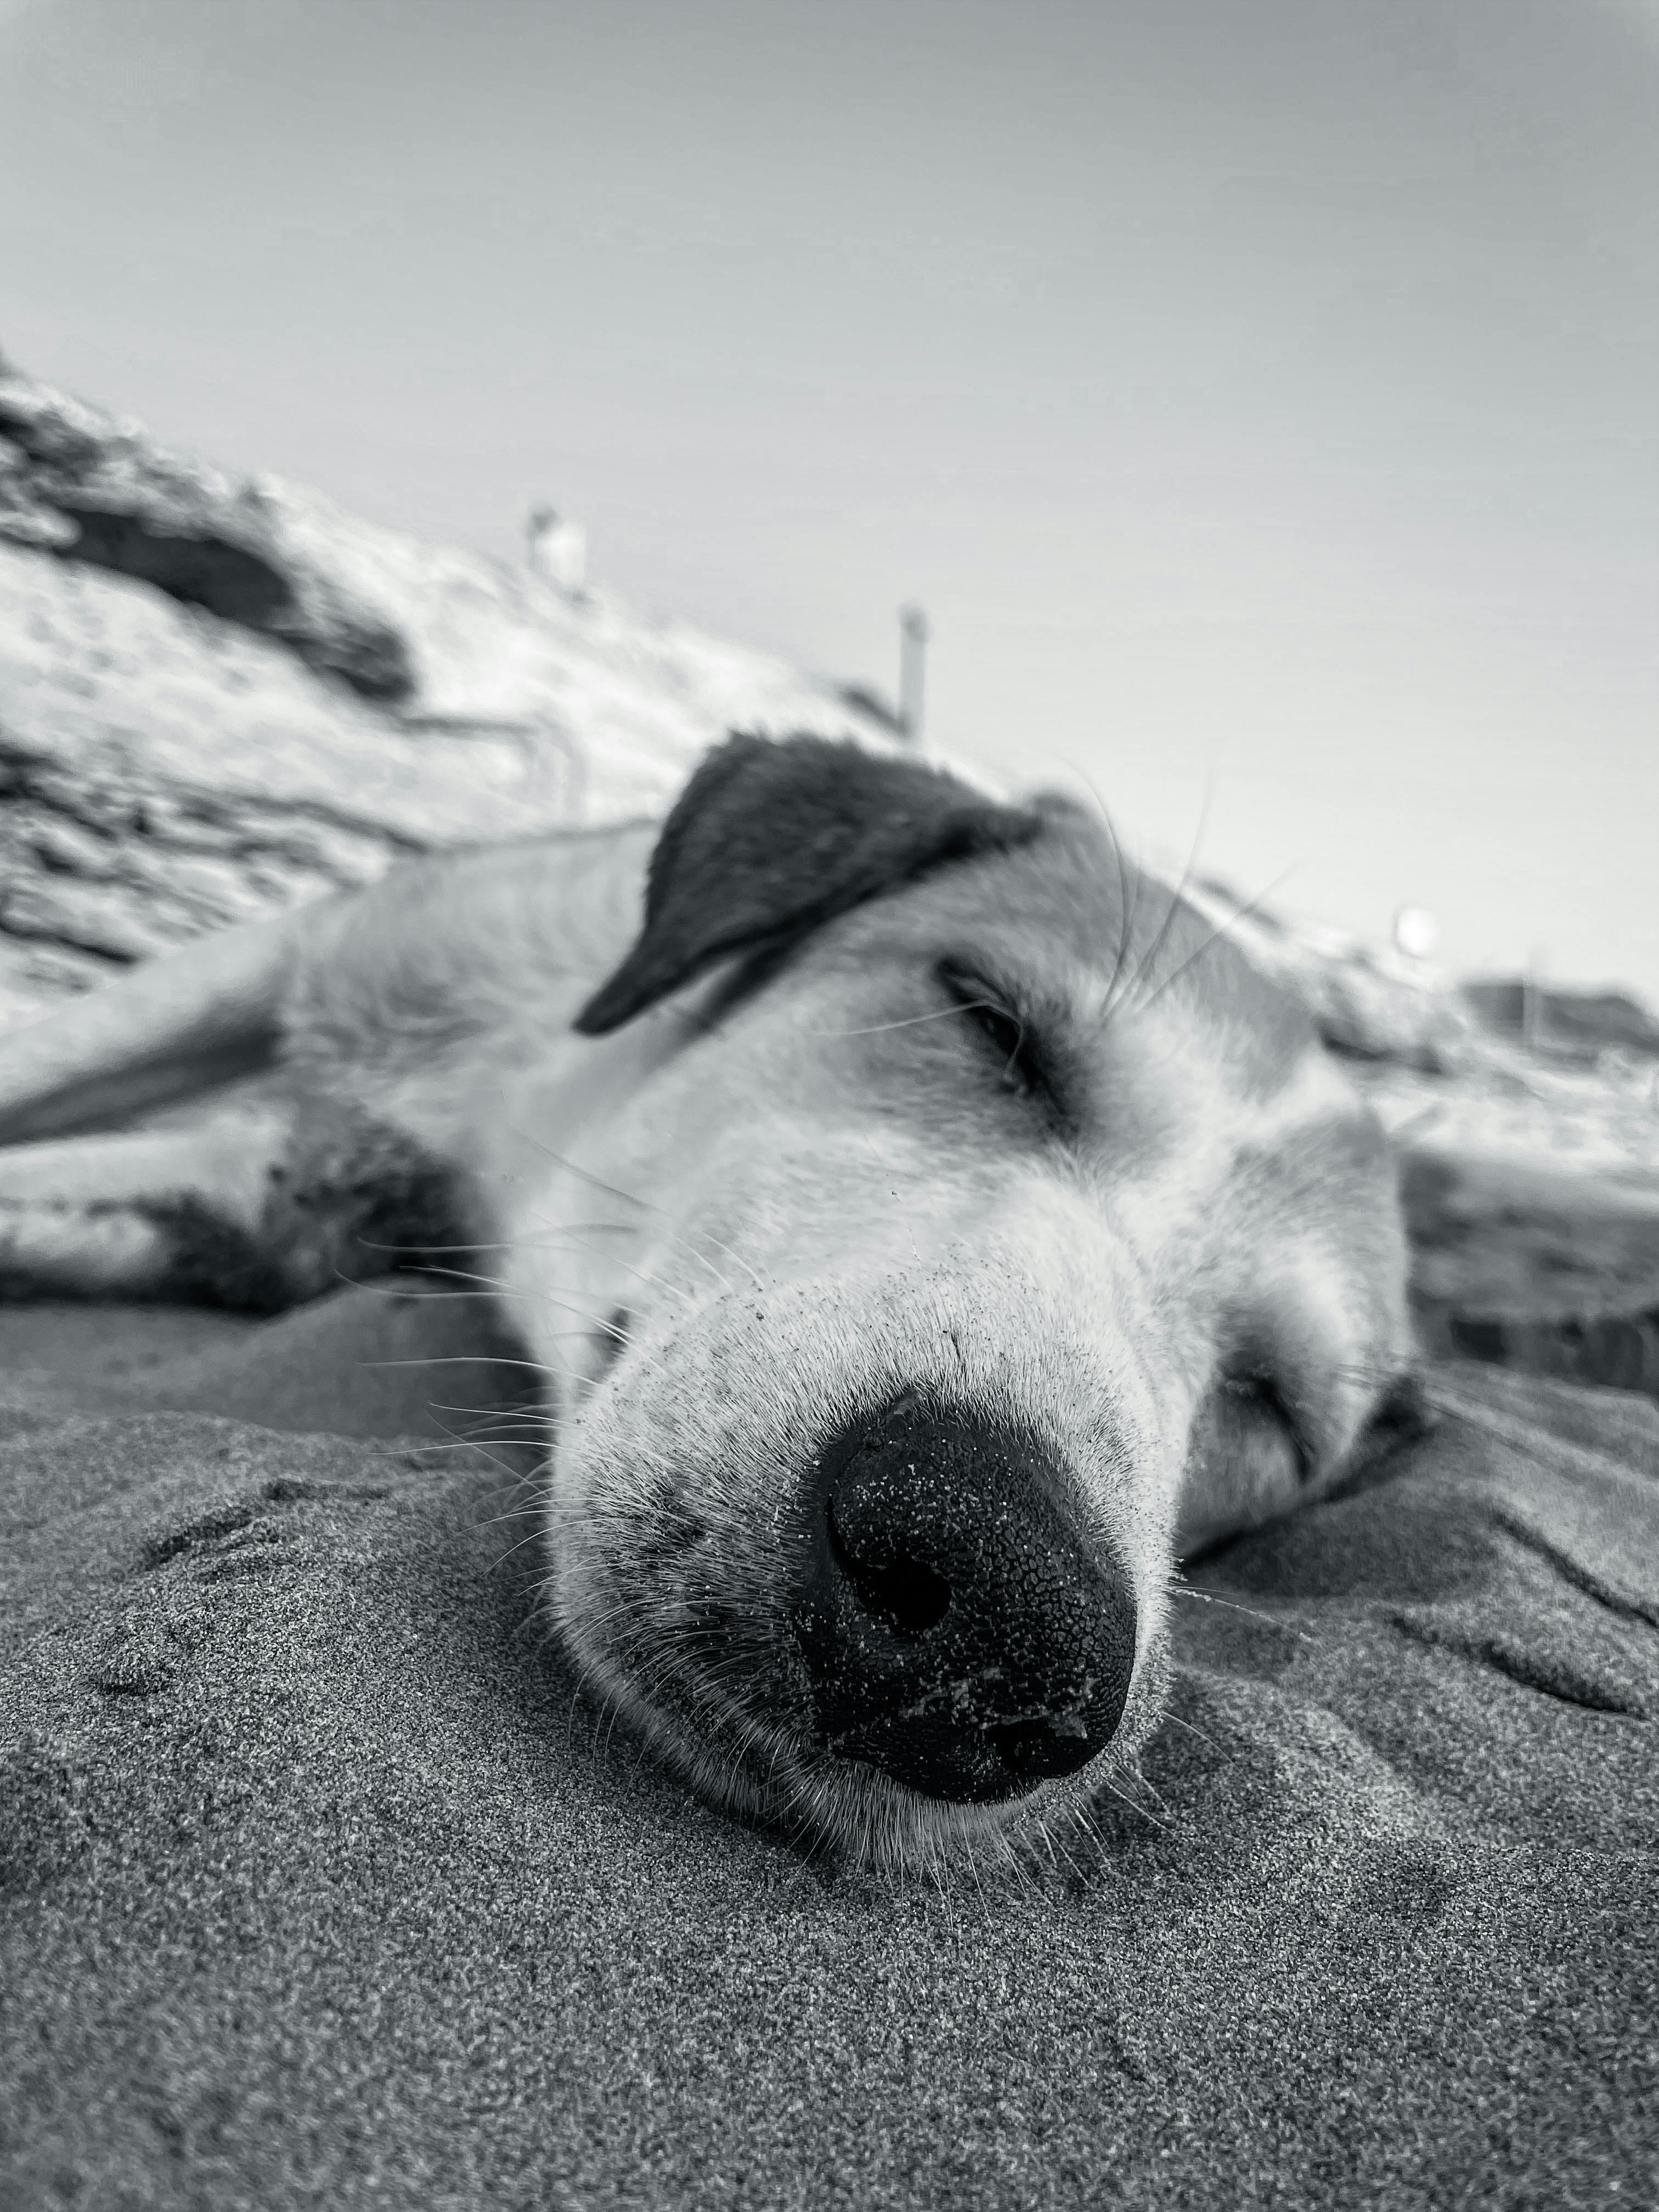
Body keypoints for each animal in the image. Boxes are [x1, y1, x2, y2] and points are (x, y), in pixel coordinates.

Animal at [0, 734, 1415, 1876]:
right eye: (987, 1020)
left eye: (1274, 1407)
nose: (1006, 1614)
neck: (504, 1126)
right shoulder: (299, 962)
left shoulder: (268, 1208)